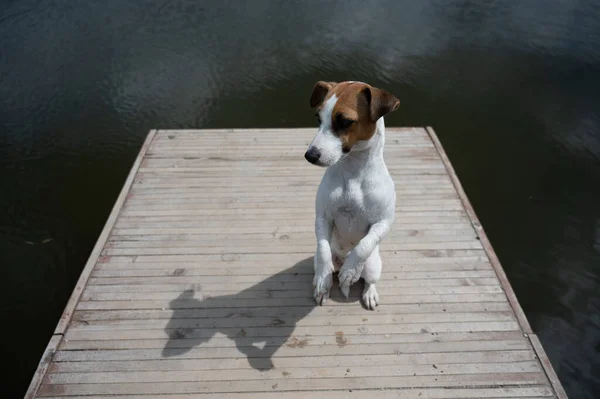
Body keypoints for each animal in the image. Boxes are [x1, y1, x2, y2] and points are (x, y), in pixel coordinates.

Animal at [304, 81, 398, 310]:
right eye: (318, 119)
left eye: (345, 121)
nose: (309, 155)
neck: (352, 171)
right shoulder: (323, 217)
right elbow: (322, 249)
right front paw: (323, 279)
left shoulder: (383, 222)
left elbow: (363, 246)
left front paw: (350, 271)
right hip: (319, 260)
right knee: (327, 265)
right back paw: (324, 285)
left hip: (373, 266)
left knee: (368, 280)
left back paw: (367, 290)